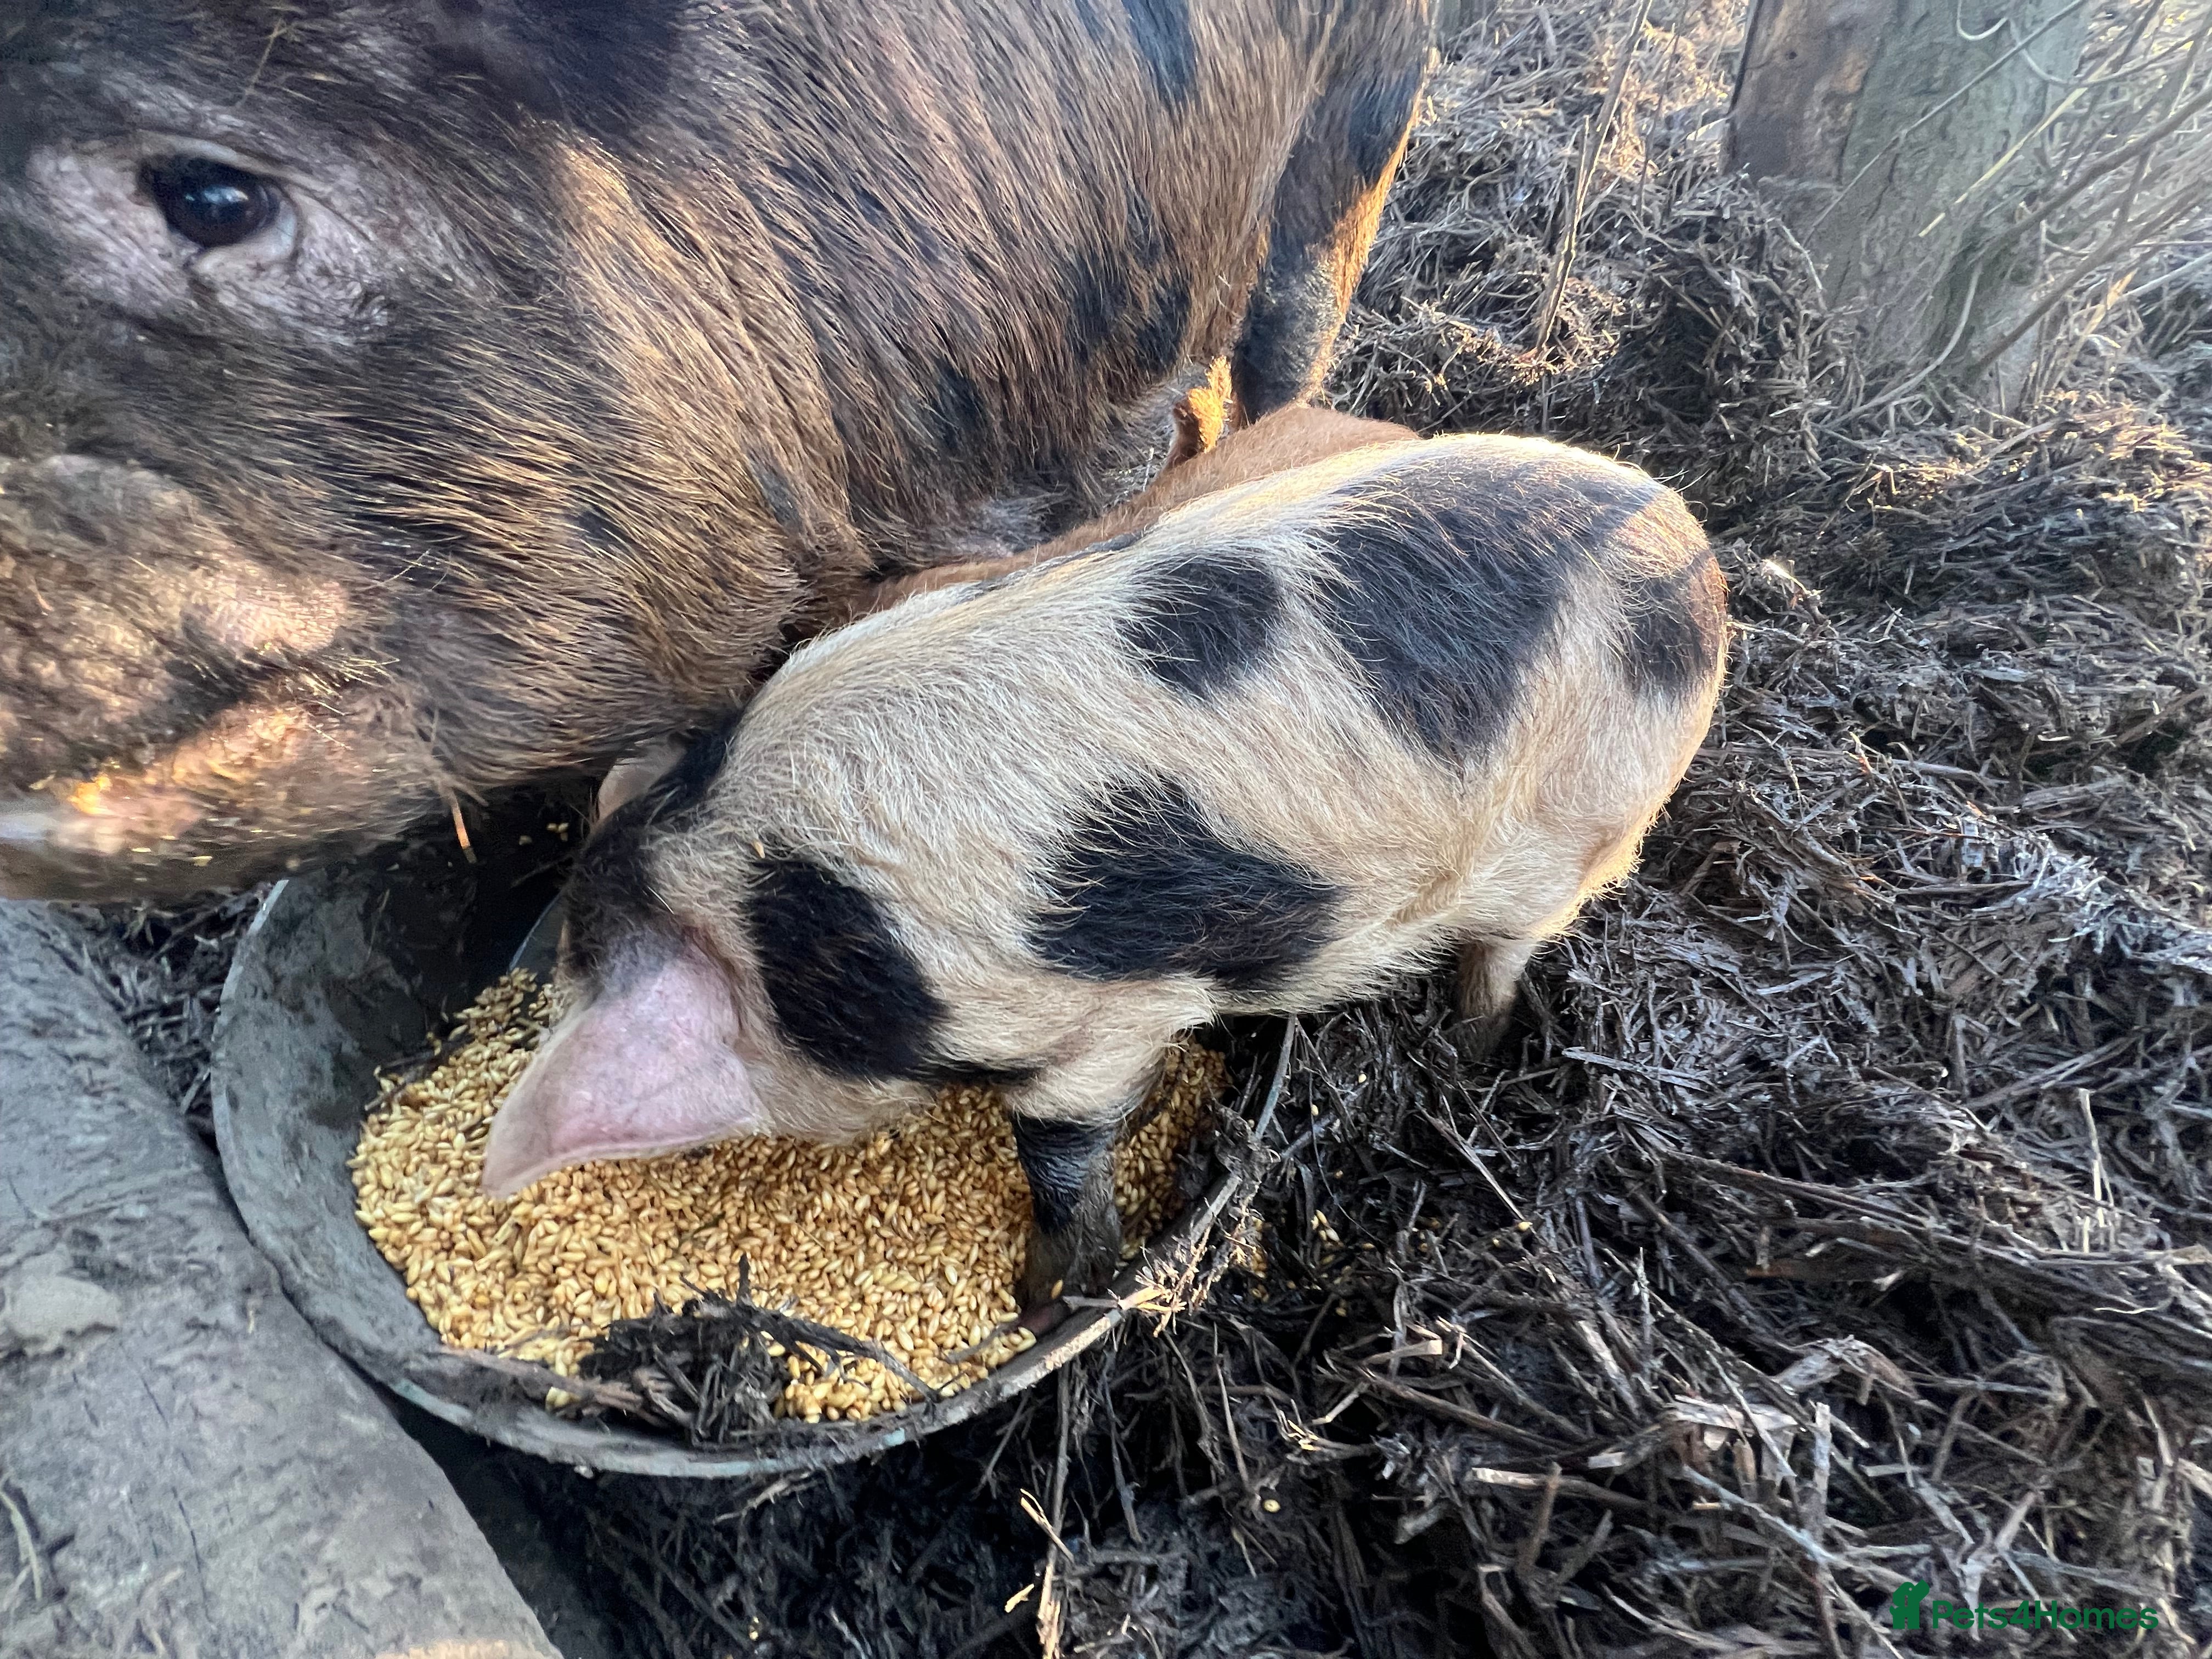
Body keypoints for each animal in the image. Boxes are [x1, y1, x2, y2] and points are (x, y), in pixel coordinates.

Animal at [482, 414, 1729, 1312]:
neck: (792, 907)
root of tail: (1692, 542)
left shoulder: (1084, 1012)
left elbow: (1061, 1142)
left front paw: (1044, 1295)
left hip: (1588, 824)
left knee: (1507, 954)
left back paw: (1467, 1047)